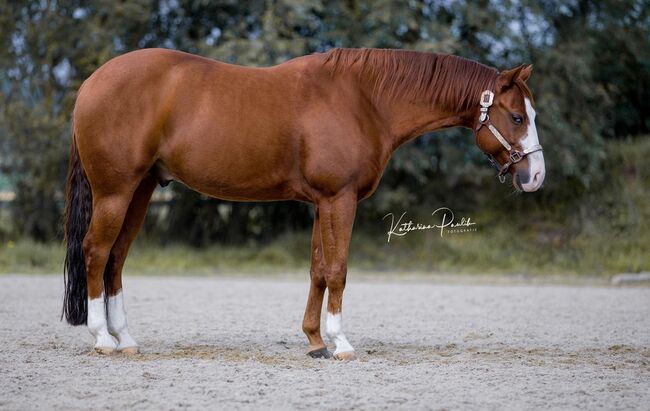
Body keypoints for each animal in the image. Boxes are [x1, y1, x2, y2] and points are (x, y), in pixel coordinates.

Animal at [62, 48, 545, 360]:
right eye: (517, 116)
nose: (535, 176)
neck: (364, 100)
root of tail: (91, 83)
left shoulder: (321, 202)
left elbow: (317, 268)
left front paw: (314, 341)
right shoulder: (339, 199)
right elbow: (338, 270)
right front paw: (340, 343)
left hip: (141, 191)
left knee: (116, 258)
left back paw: (125, 339)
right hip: (115, 191)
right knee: (96, 252)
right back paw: (102, 338)